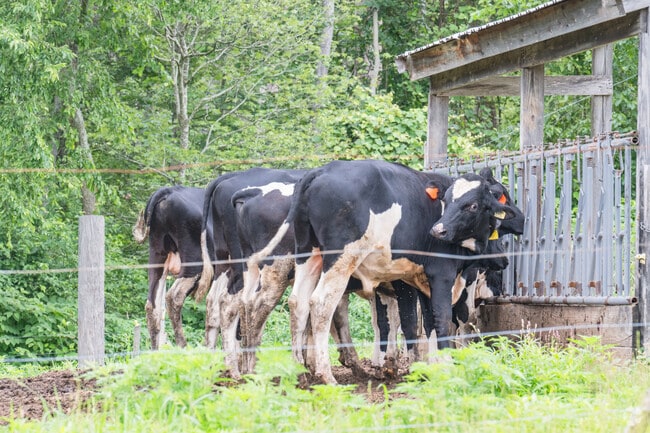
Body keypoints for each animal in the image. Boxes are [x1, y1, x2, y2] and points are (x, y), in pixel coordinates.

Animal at [132, 186, 214, 350]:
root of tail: (169, 190)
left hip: (157, 256)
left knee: (152, 306)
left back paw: (155, 350)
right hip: (195, 262)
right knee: (174, 296)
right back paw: (183, 346)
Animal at [250, 159, 519, 384]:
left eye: (472, 204)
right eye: (454, 201)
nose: (438, 230)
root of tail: (321, 170)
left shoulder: (420, 280)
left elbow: (426, 322)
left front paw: (427, 366)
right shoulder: (439, 275)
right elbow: (437, 320)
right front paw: (441, 367)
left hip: (308, 253)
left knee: (298, 303)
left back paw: (300, 373)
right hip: (339, 258)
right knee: (320, 304)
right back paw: (325, 375)